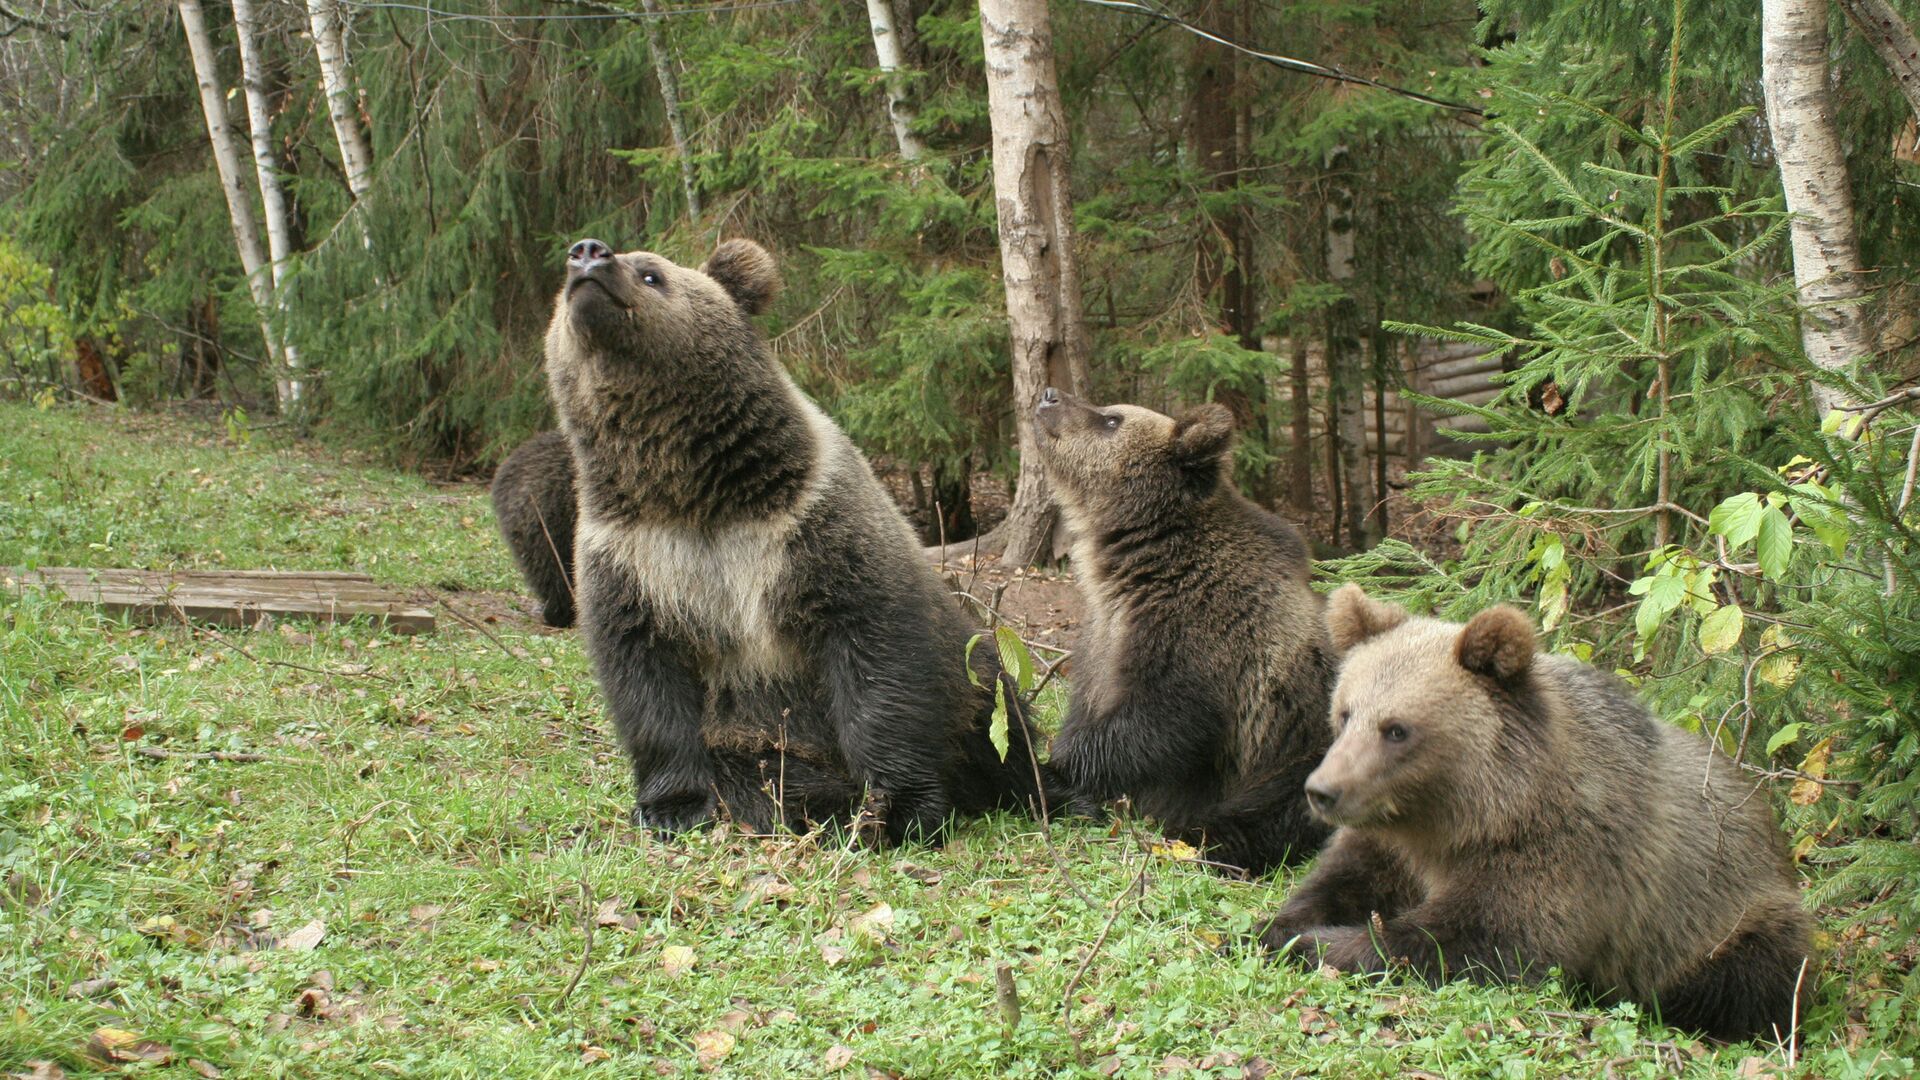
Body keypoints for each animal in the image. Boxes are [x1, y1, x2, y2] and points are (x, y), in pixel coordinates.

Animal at [541, 235, 1052, 841]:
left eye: (651, 274)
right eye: (563, 282)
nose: (588, 253)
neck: (694, 492)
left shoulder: (813, 528)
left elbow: (879, 661)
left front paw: (898, 809)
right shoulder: (632, 557)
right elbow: (644, 679)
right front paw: (671, 805)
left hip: (967, 670)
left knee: (998, 714)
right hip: (760, 738)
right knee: (764, 774)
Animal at [1036, 386, 1336, 876]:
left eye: (1112, 420)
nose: (1049, 395)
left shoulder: (1200, 636)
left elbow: (1162, 721)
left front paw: (1061, 772)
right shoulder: (1104, 634)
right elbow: (1089, 704)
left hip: (1315, 747)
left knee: (1281, 805)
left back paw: (1208, 838)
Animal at [1259, 584, 1812, 1037]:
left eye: (1396, 729)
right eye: (1345, 712)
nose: (1322, 790)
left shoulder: (1560, 853)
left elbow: (1475, 940)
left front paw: (1317, 946)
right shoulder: (1391, 841)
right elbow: (1339, 881)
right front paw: (1277, 927)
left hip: (1729, 916)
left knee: (1744, 979)